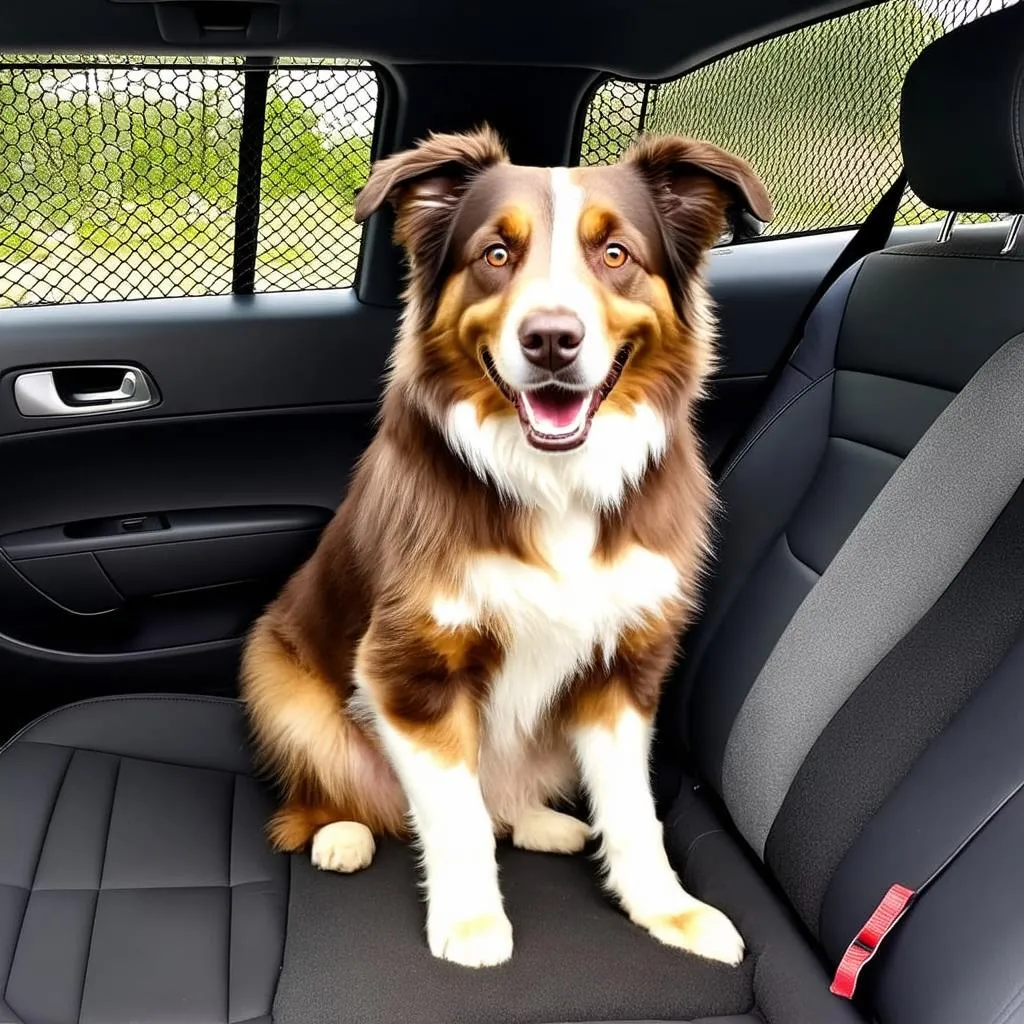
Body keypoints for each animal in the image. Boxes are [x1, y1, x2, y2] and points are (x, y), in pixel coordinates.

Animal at [239, 125, 770, 966]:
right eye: (495, 253)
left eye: (614, 253)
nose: (551, 339)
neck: (555, 483)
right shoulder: (407, 666)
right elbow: (454, 817)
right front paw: (469, 923)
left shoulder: (625, 668)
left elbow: (634, 811)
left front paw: (669, 910)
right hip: (277, 681)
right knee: (345, 793)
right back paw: (342, 834)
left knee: (502, 803)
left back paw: (541, 822)